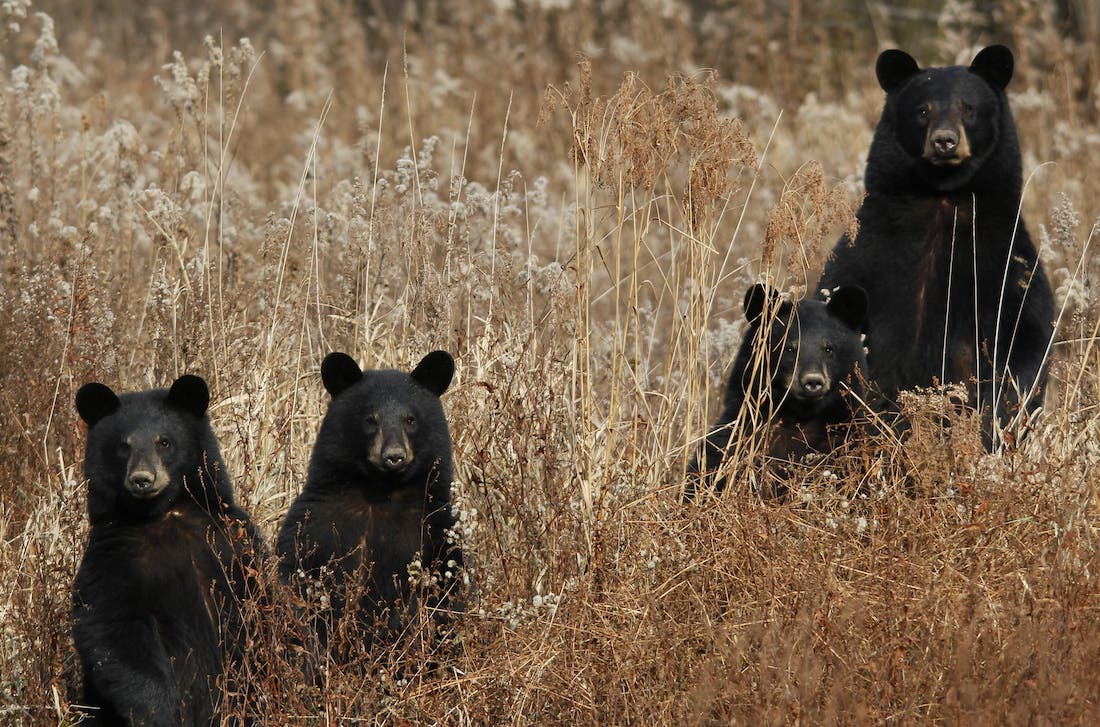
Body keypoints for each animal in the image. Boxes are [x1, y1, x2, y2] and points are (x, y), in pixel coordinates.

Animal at [72, 375, 265, 726]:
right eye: (124, 445)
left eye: (164, 442)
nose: (142, 479)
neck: (165, 513)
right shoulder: (111, 559)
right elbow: (114, 633)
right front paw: (158, 712)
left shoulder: (231, 540)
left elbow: (261, 600)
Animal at [276, 350, 466, 658]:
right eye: (370, 420)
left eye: (410, 419)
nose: (394, 456)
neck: (381, 491)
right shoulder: (316, 521)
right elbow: (295, 573)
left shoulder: (436, 526)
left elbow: (446, 588)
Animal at [687, 283, 871, 498]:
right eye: (789, 349)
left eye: (828, 349)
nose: (813, 381)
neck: (798, 416)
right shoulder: (738, 438)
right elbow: (709, 469)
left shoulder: (842, 440)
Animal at [815, 44, 1055, 448]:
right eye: (923, 110)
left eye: (968, 107)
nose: (945, 141)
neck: (943, 199)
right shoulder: (867, 254)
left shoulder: (1002, 259)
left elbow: (1025, 335)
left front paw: (993, 420)